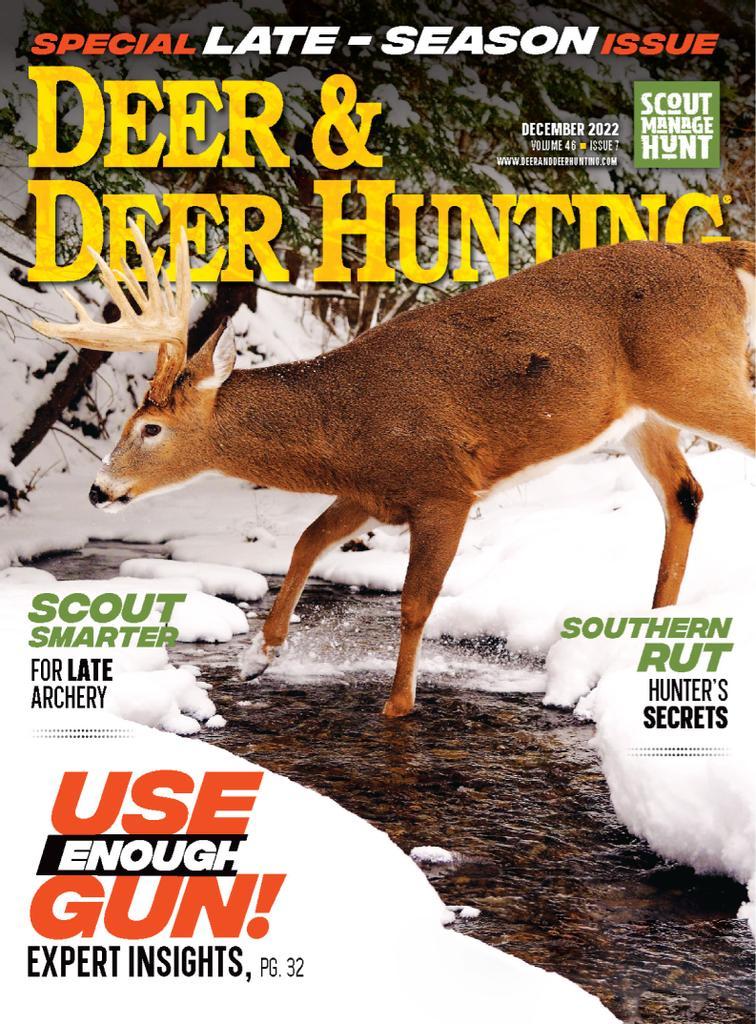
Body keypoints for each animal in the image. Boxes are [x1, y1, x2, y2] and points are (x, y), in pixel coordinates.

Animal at [33, 223, 755, 717]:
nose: (99, 489)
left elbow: (413, 601)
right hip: (640, 418)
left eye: (150, 428)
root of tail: (720, 257)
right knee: (685, 493)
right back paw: (654, 628)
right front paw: (258, 656)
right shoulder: (373, 492)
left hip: (694, 375)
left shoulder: (445, 486)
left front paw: (397, 704)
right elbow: (306, 542)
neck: (345, 428)